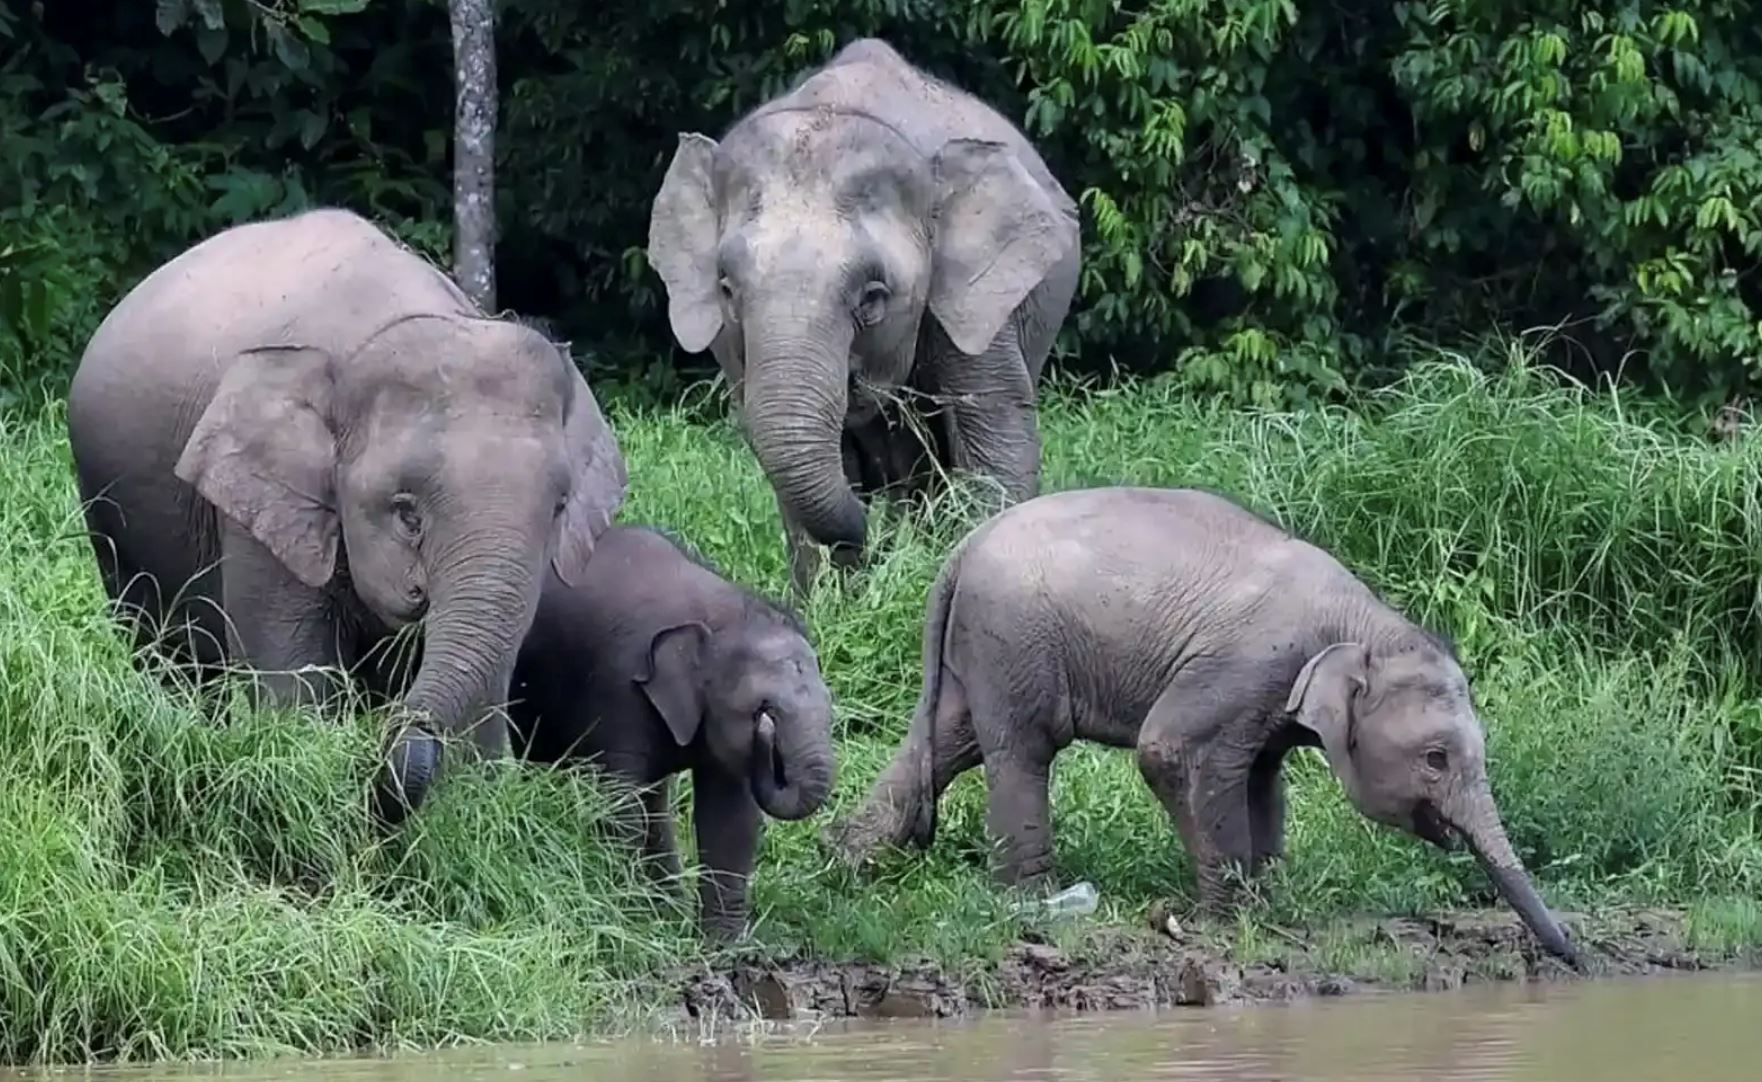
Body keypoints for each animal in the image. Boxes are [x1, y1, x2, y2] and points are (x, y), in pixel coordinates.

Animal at [506, 524, 836, 941]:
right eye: (765, 709)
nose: (766, 737)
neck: (718, 615)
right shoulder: (618, 688)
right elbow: (621, 806)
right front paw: (630, 920)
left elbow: (730, 819)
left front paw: (721, 945)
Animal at [646, 37, 1082, 596]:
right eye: (726, 289)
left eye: (874, 298)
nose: (867, 531)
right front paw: (831, 599)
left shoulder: (978, 305)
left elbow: (995, 428)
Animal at [824, 485, 1579, 965]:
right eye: (1435, 758)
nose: (1576, 958)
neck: (1365, 624)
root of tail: (960, 549)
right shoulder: (1248, 665)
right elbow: (1170, 752)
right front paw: (1228, 913)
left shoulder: (1270, 695)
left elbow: (1264, 777)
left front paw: (1267, 901)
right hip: (1015, 638)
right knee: (1020, 748)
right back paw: (1028, 899)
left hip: (984, 647)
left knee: (951, 740)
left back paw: (849, 863)